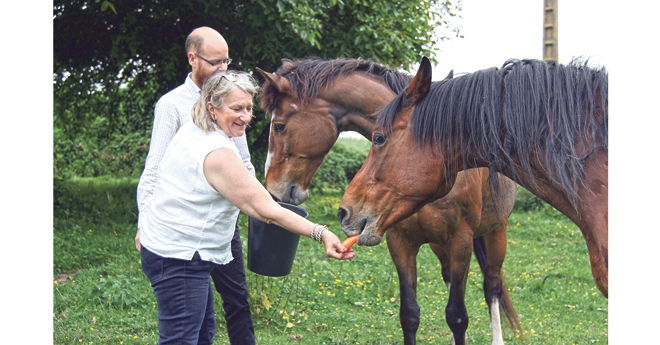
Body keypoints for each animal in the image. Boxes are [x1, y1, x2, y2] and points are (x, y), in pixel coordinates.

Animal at [256, 57, 520, 342]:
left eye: (279, 126)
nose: (273, 191)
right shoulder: (400, 242)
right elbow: (410, 314)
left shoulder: (461, 241)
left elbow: (458, 315)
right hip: (440, 245)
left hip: (496, 232)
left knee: (492, 286)